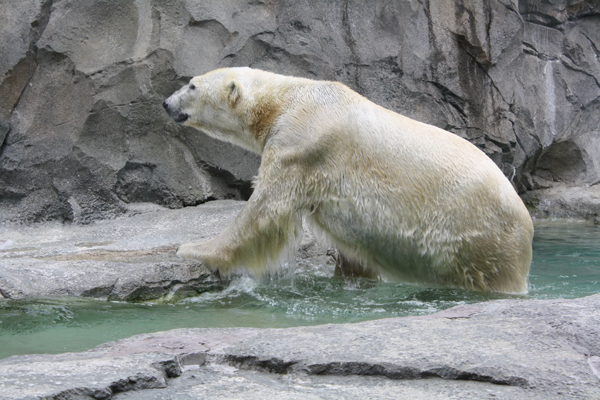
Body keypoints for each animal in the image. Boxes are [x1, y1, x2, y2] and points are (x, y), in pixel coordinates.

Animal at [164, 68, 536, 294]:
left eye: (192, 85)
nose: (166, 103)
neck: (287, 100)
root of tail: (526, 222)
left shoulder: (301, 146)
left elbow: (264, 209)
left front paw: (194, 249)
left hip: (478, 235)